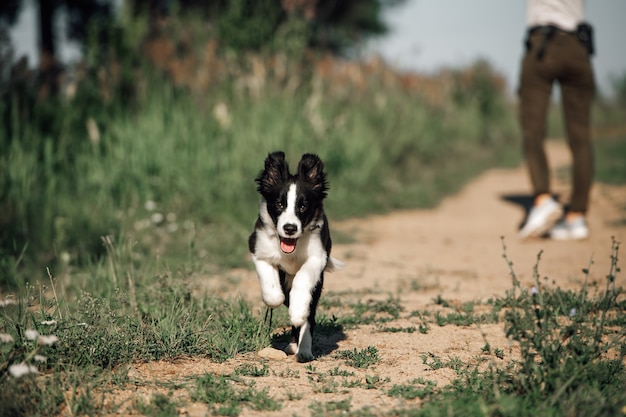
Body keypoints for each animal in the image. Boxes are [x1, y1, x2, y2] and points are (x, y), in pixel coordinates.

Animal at [246, 150, 342, 360]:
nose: (290, 228)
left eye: (303, 206)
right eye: (279, 204)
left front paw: (298, 311)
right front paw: (274, 297)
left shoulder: (318, 257)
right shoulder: (259, 249)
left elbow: (303, 278)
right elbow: (271, 287)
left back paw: (304, 349)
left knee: (310, 317)